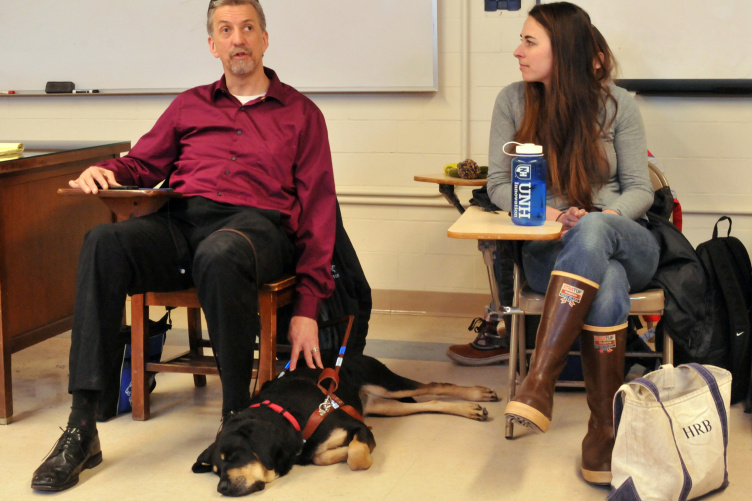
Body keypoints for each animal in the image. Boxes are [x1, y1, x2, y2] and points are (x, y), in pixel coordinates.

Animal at [192, 354, 500, 494]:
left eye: (234, 456)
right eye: (216, 470)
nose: (221, 488)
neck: (287, 414)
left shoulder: (358, 427)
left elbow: (357, 458)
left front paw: (357, 454)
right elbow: (321, 456)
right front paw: (332, 452)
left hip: (387, 384)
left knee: (435, 386)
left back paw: (477, 395)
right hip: (385, 405)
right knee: (428, 402)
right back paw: (470, 408)